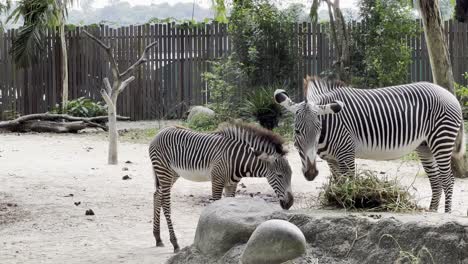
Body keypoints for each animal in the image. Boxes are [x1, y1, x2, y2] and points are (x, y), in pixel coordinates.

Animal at [148, 122, 292, 253]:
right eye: (279, 175)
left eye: (291, 174)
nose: (290, 203)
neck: (237, 159)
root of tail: (161, 131)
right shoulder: (217, 180)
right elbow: (215, 206)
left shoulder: (232, 184)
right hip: (164, 171)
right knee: (166, 203)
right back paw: (174, 243)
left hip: (173, 174)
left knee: (157, 195)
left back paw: (158, 238)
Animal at [274, 76, 464, 212]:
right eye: (297, 131)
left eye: (319, 129)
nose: (311, 173)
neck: (330, 124)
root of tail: (450, 94)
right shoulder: (332, 160)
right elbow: (338, 183)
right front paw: (337, 201)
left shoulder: (346, 153)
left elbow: (351, 182)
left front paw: (351, 204)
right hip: (425, 146)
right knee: (436, 181)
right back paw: (432, 212)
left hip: (442, 140)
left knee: (448, 179)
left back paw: (446, 214)